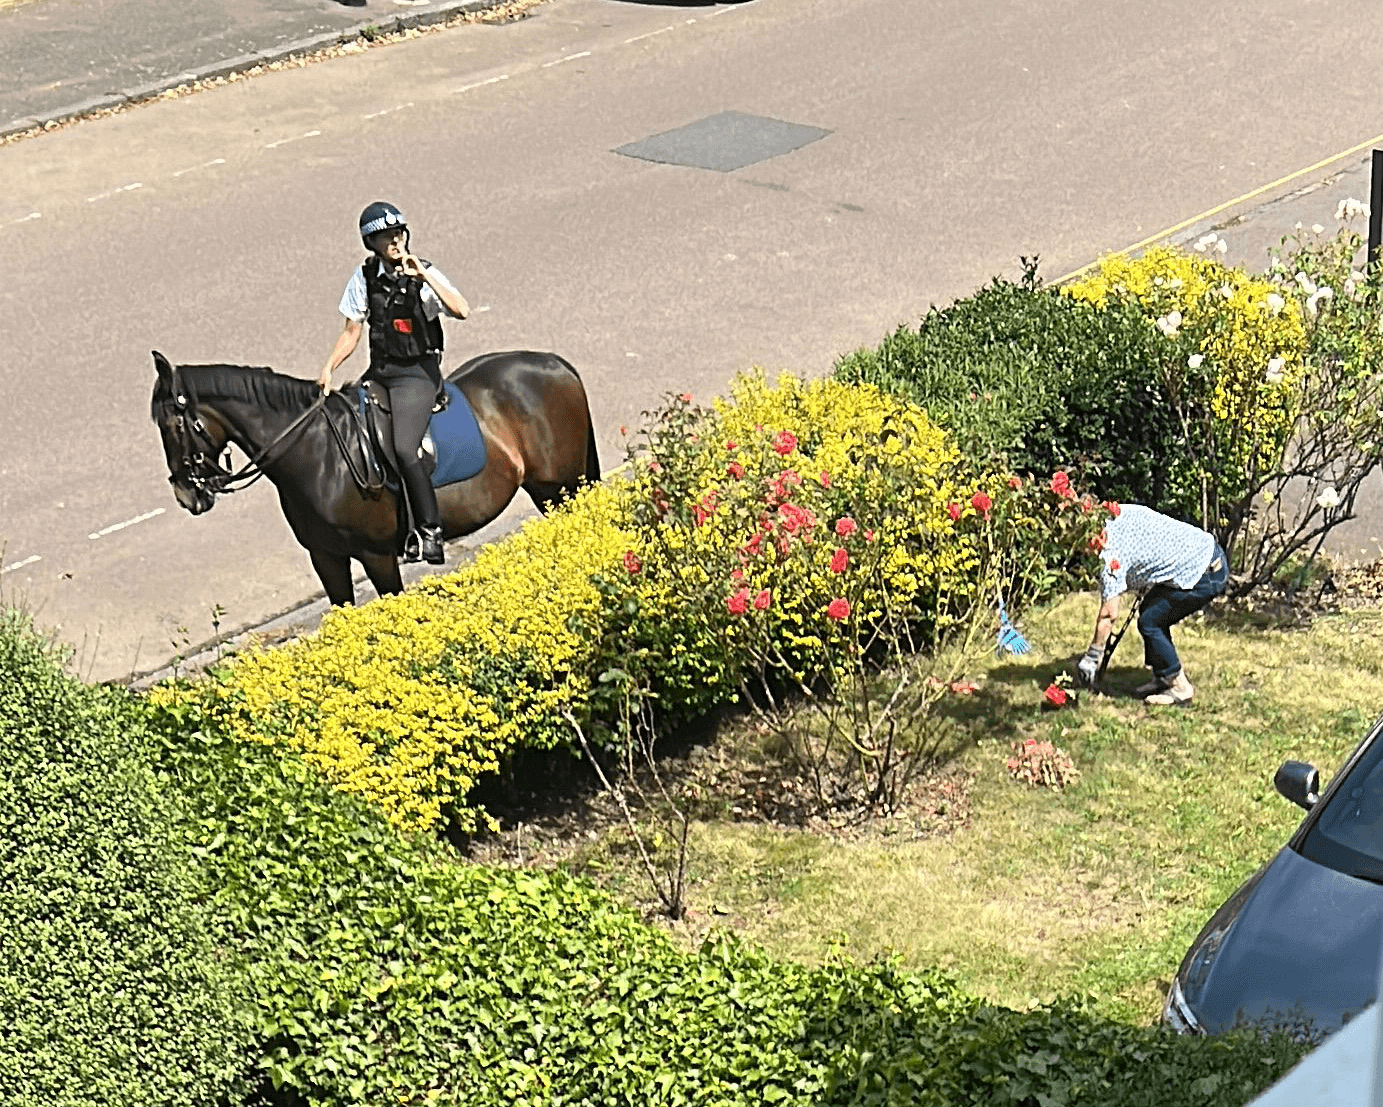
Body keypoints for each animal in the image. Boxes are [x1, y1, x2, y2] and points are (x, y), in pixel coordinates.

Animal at [151, 350, 600, 606]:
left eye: (172, 423)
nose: (186, 495)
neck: (318, 454)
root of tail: (556, 364)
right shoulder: (326, 557)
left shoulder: (377, 555)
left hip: (563, 486)